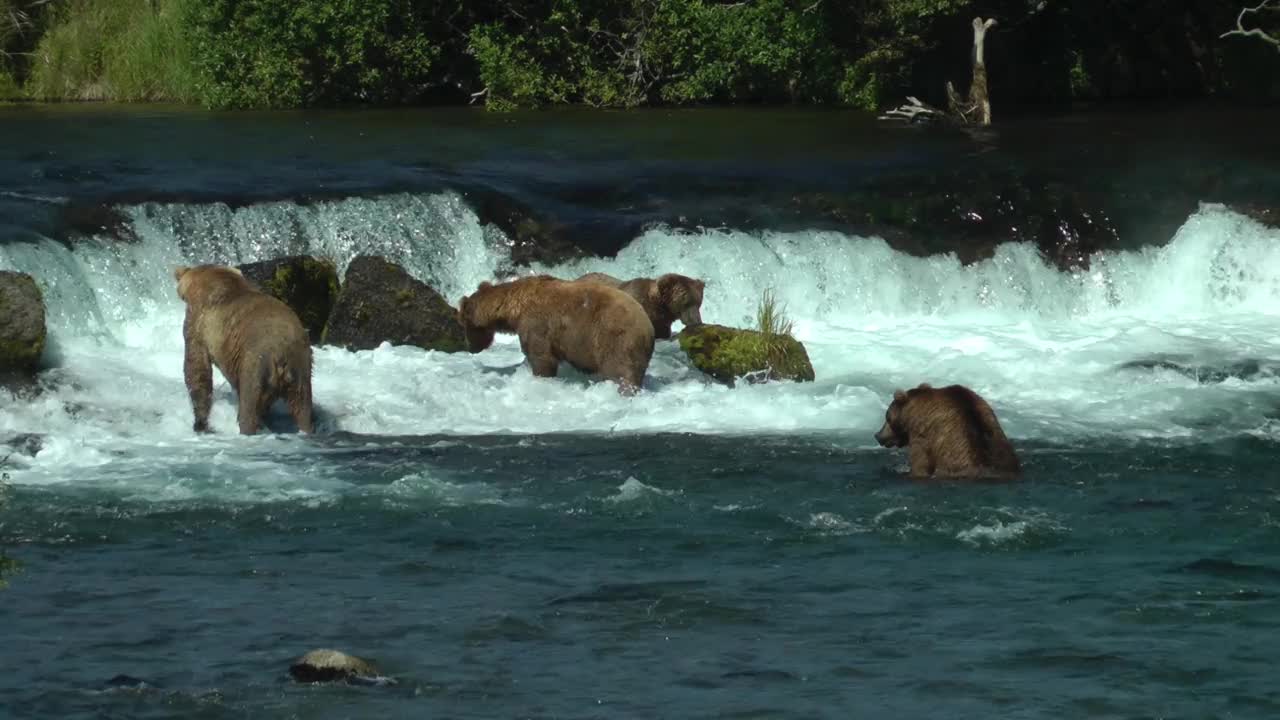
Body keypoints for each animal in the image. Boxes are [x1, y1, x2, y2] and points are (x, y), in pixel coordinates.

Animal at [174, 262, 313, 430]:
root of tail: (282, 353)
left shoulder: (198, 324)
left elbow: (196, 368)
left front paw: (200, 420)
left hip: (255, 363)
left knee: (249, 403)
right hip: (301, 367)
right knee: (302, 406)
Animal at [458, 274, 655, 394]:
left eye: (463, 324)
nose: (471, 348)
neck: (515, 309)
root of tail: (648, 328)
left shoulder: (537, 325)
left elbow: (542, 357)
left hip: (615, 338)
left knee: (619, 370)